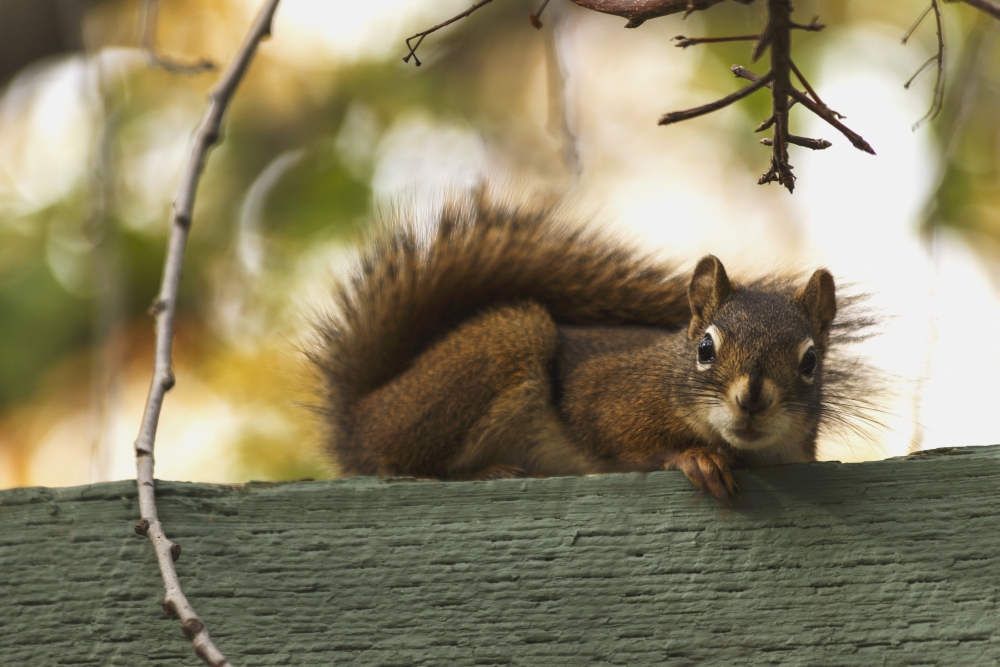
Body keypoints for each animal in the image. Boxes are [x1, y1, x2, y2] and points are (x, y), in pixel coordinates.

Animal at [311, 189, 877, 504]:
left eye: (810, 361)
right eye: (705, 349)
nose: (752, 399)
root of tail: (361, 413)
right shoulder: (609, 395)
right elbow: (618, 434)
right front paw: (696, 458)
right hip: (501, 349)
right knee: (397, 462)